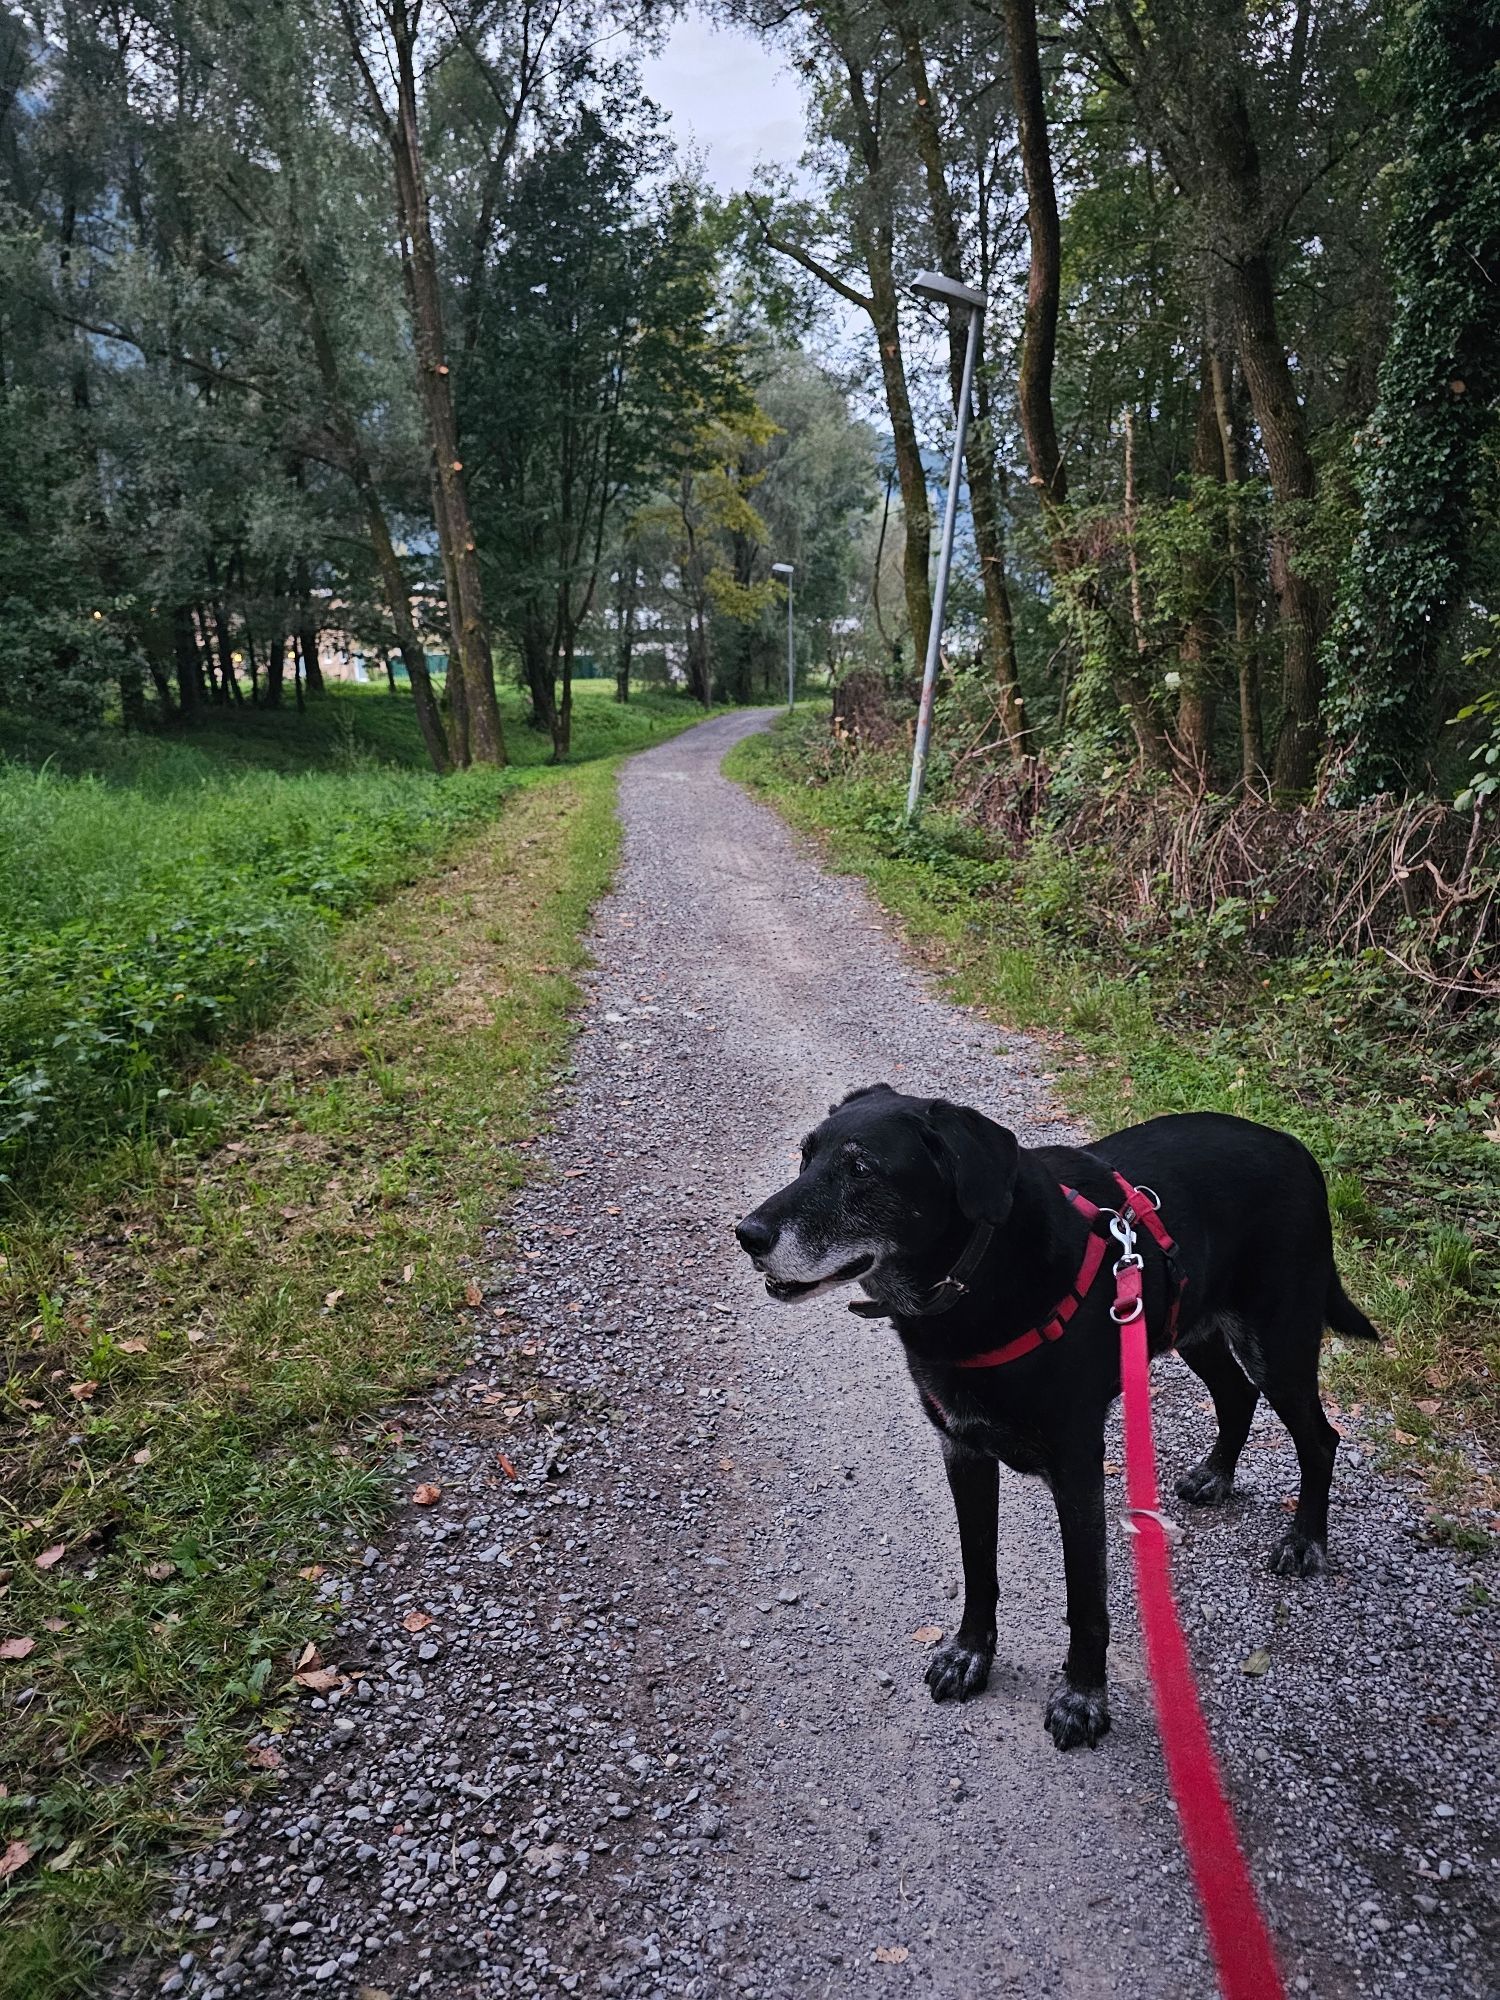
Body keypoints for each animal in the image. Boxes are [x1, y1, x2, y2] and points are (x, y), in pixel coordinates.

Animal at [736, 1096, 1384, 1752]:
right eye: (805, 1156)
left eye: (862, 1169)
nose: (747, 1235)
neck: (978, 1280)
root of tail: (1295, 1148)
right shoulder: (963, 1452)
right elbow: (979, 1569)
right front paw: (970, 1654)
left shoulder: (1077, 1472)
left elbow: (1087, 1602)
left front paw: (1083, 1697)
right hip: (1187, 1322)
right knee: (1235, 1394)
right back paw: (1217, 1475)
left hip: (1276, 1341)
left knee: (1319, 1437)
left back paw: (1304, 1540)